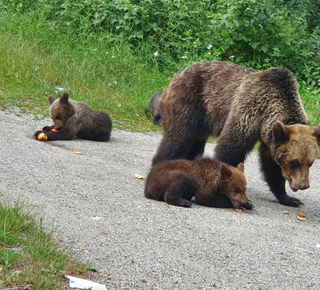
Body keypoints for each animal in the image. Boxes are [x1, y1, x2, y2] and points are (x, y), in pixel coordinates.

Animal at [152, 60, 320, 206]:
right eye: (295, 162)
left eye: (310, 162)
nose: (304, 185)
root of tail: (179, 73)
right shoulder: (248, 111)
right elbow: (230, 150)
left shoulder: (271, 138)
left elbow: (271, 166)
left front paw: (289, 198)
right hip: (189, 101)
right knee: (178, 139)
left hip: (203, 119)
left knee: (195, 145)